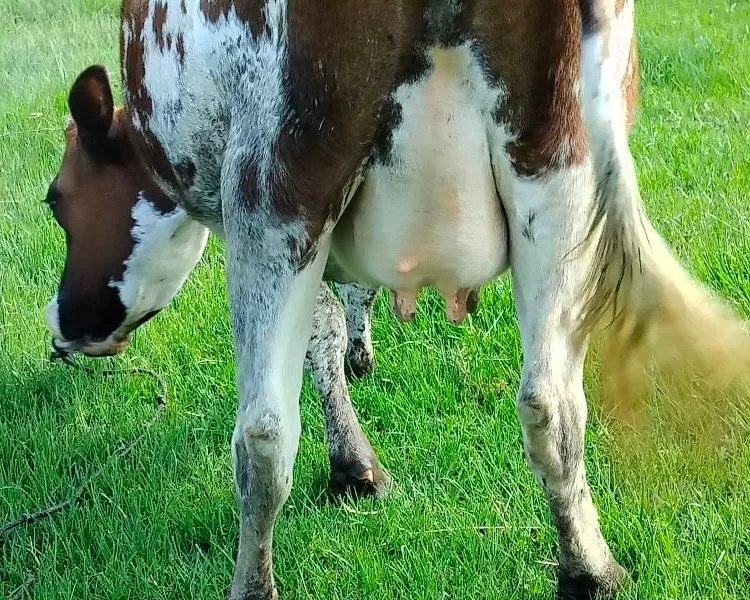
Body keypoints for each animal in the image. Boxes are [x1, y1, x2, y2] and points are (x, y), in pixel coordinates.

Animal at [42, 1, 750, 600]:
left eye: (56, 200)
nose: (60, 329)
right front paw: (363, 356)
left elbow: (322, 334)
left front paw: (355, 467)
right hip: (560, 173)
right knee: (551, 403)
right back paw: (592, 572)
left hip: (271, 187)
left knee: (264, 433)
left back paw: (253, 584)